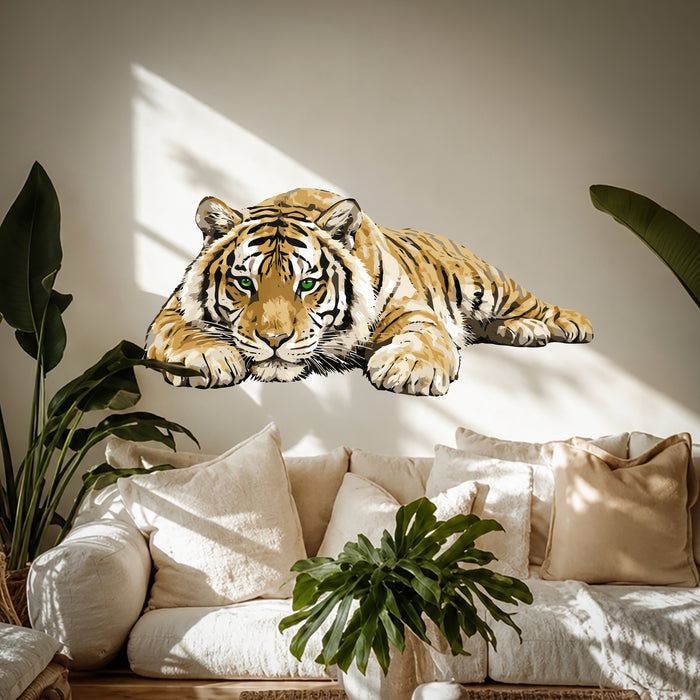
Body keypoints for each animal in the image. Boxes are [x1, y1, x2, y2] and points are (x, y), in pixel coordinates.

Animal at [145, 187, 592, 395]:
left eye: (307, 284)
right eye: (244, 283)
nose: (274, 340)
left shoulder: (411, 310)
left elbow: (425, 337)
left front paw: (409, 368)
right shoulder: (172, 309)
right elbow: (181, 330)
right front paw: (206, 357)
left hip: (492, 284)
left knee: (533, 302)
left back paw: (571, 323)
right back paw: (522, 332)